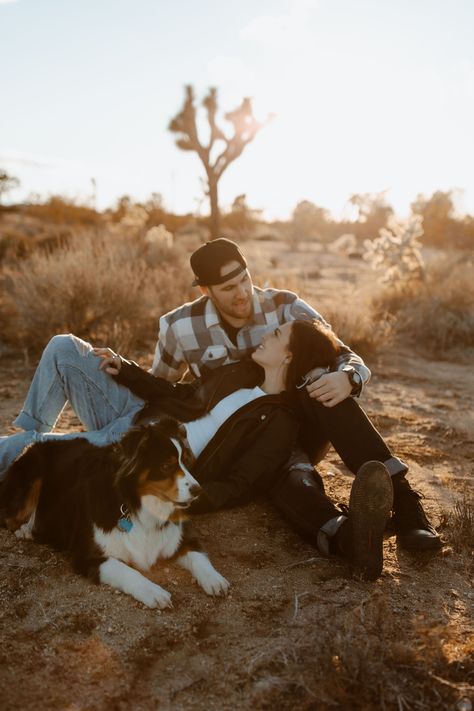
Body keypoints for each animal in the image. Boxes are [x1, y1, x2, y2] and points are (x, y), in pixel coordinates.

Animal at [0, 420, 230, 608]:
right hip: (32, 477)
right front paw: (153, 591)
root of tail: (36, 443)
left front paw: (215, 579)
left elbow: (199, 557)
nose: (198, 490)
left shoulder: (181, 539)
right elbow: (128, 571)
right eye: (166, 465)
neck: (137, 505)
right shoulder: (89, 556)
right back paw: (26, 530)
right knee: (9, 517)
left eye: (185, 461)